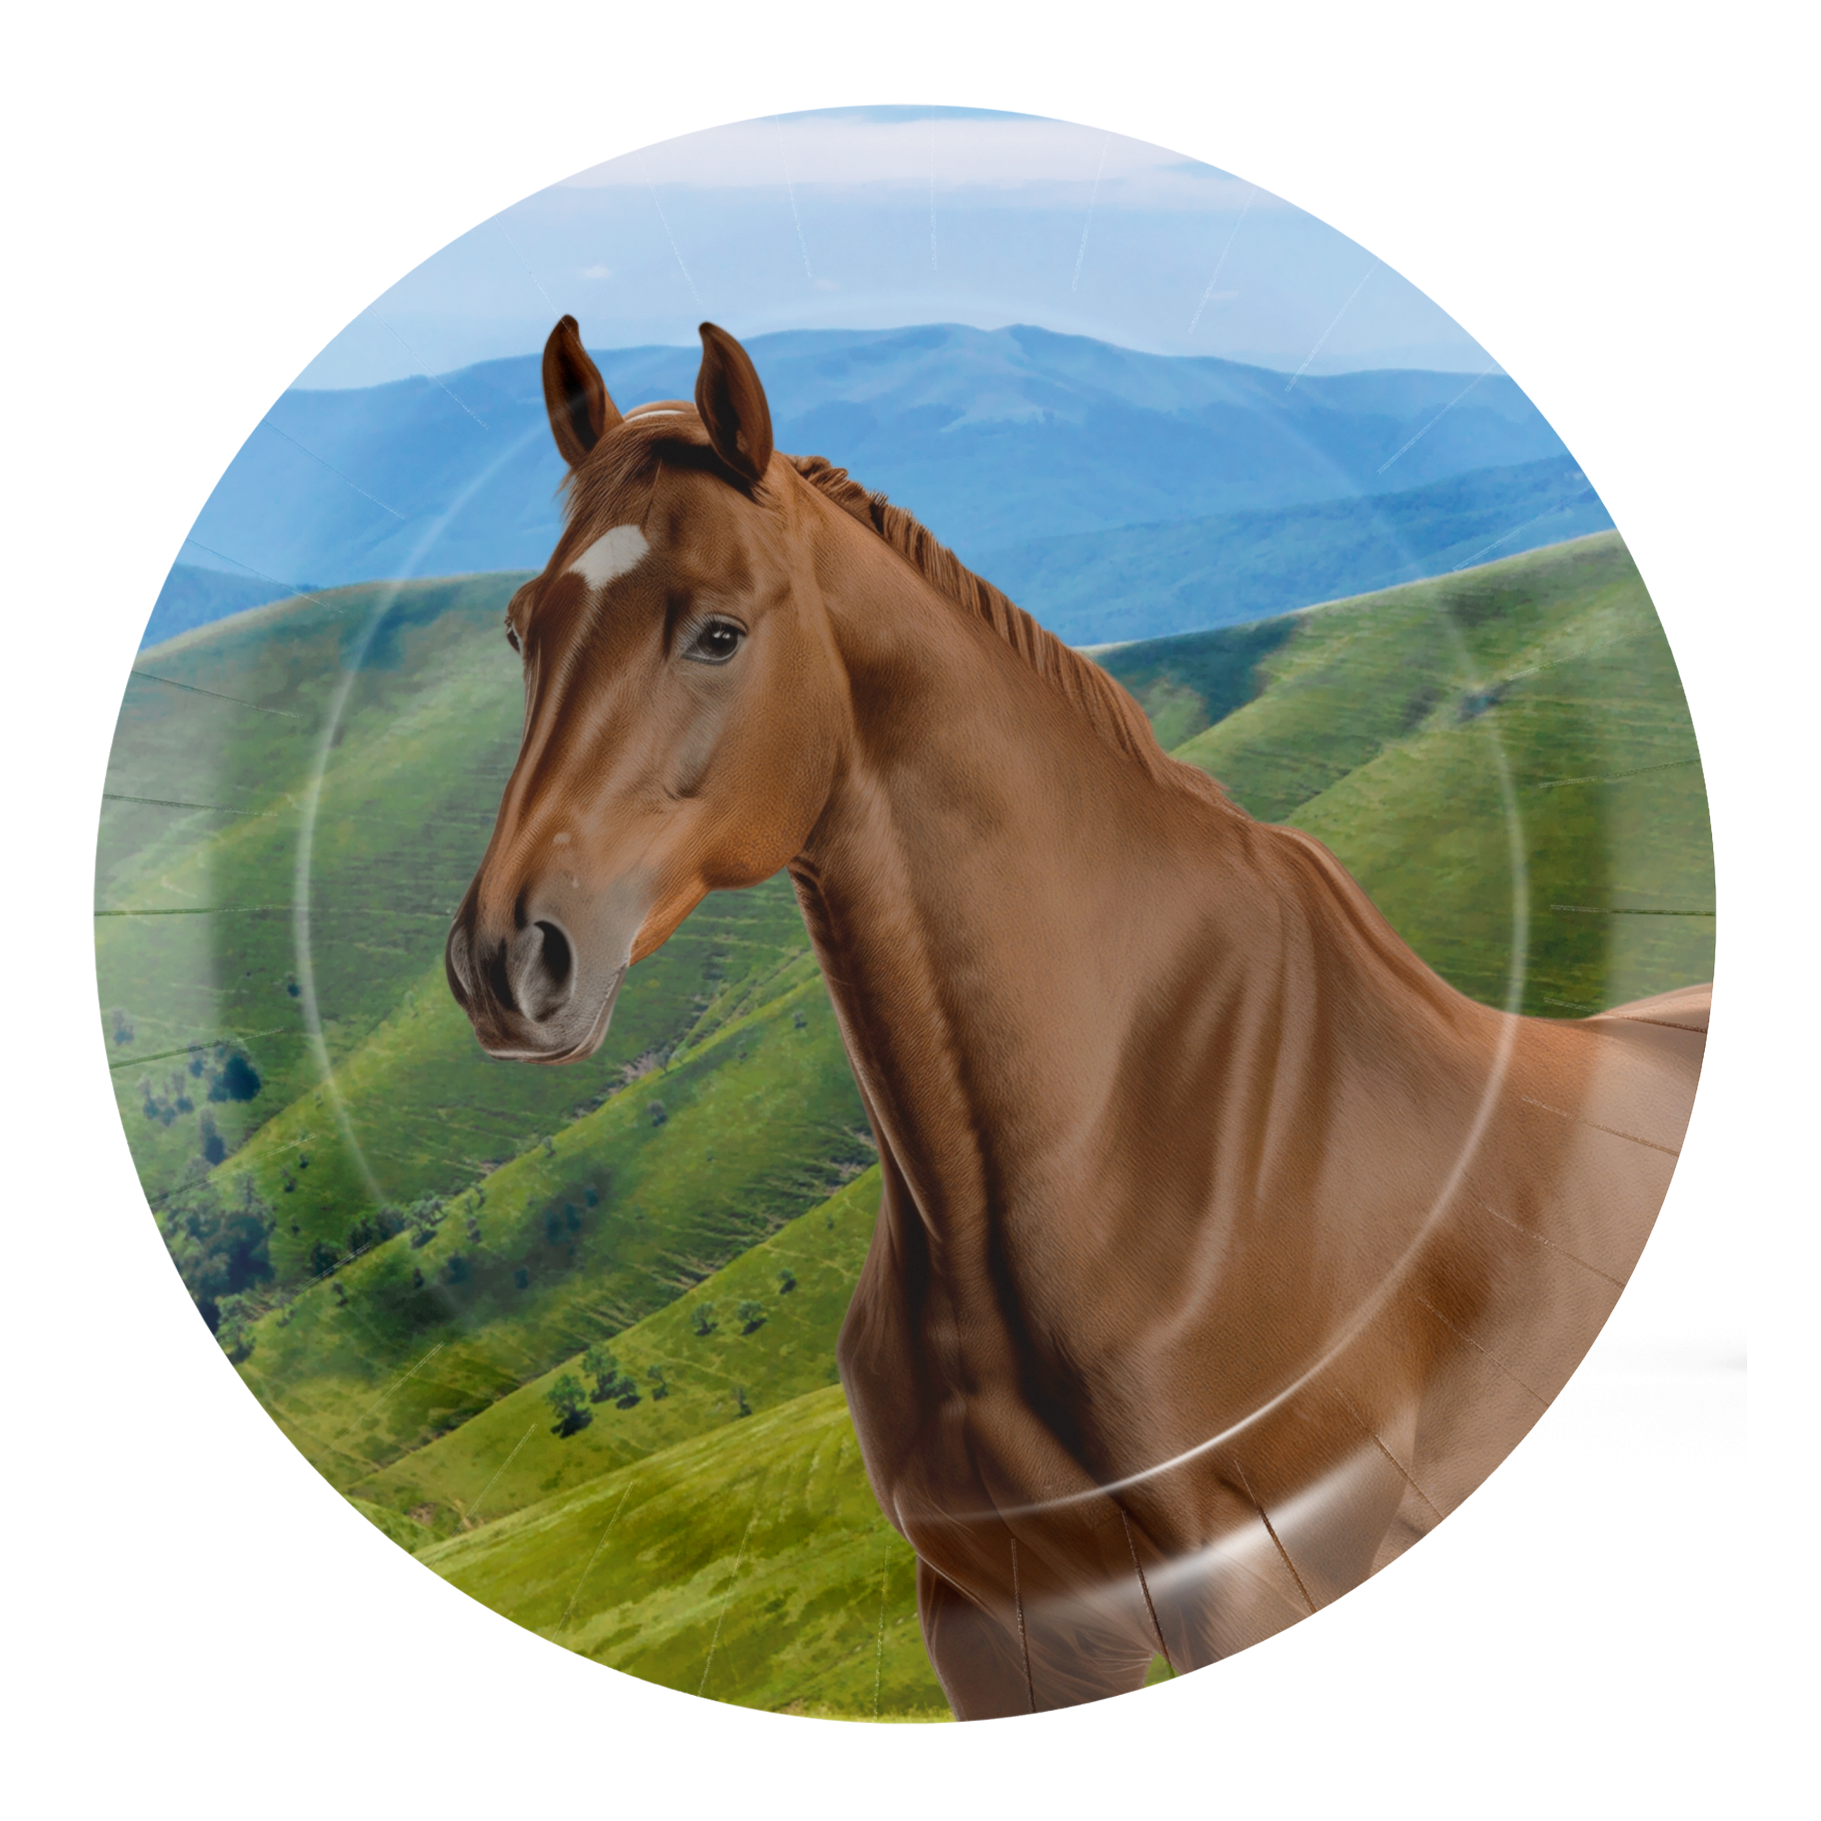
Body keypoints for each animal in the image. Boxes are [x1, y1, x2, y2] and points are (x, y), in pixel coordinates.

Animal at [445, 316, 1710, 1724]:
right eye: (521, 628)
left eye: (716, 633)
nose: (509, 958)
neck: (1097, 1162)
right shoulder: (1009, 1636)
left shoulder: (1267, 1603)